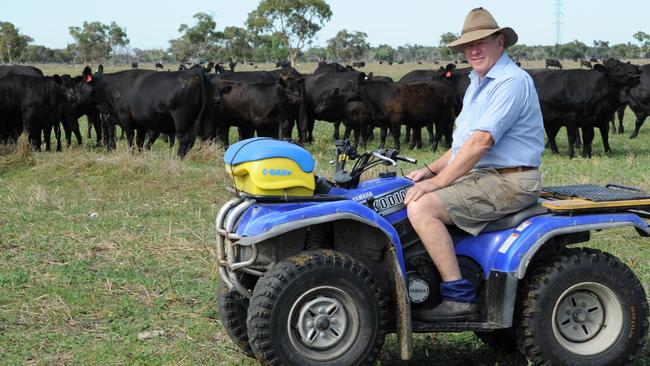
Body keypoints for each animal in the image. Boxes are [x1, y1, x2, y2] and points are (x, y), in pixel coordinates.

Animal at [76, 66, 229, 157]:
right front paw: (139, 155)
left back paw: (178, 158)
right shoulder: (140, 123)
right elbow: (139, 140)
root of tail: (195, 73)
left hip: (181, 119)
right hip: (202, 119)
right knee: (193, 140)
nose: (72, 97)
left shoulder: (125, 118)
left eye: (78, 86)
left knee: (184, 139)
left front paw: (131, 155)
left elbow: (130, 138)